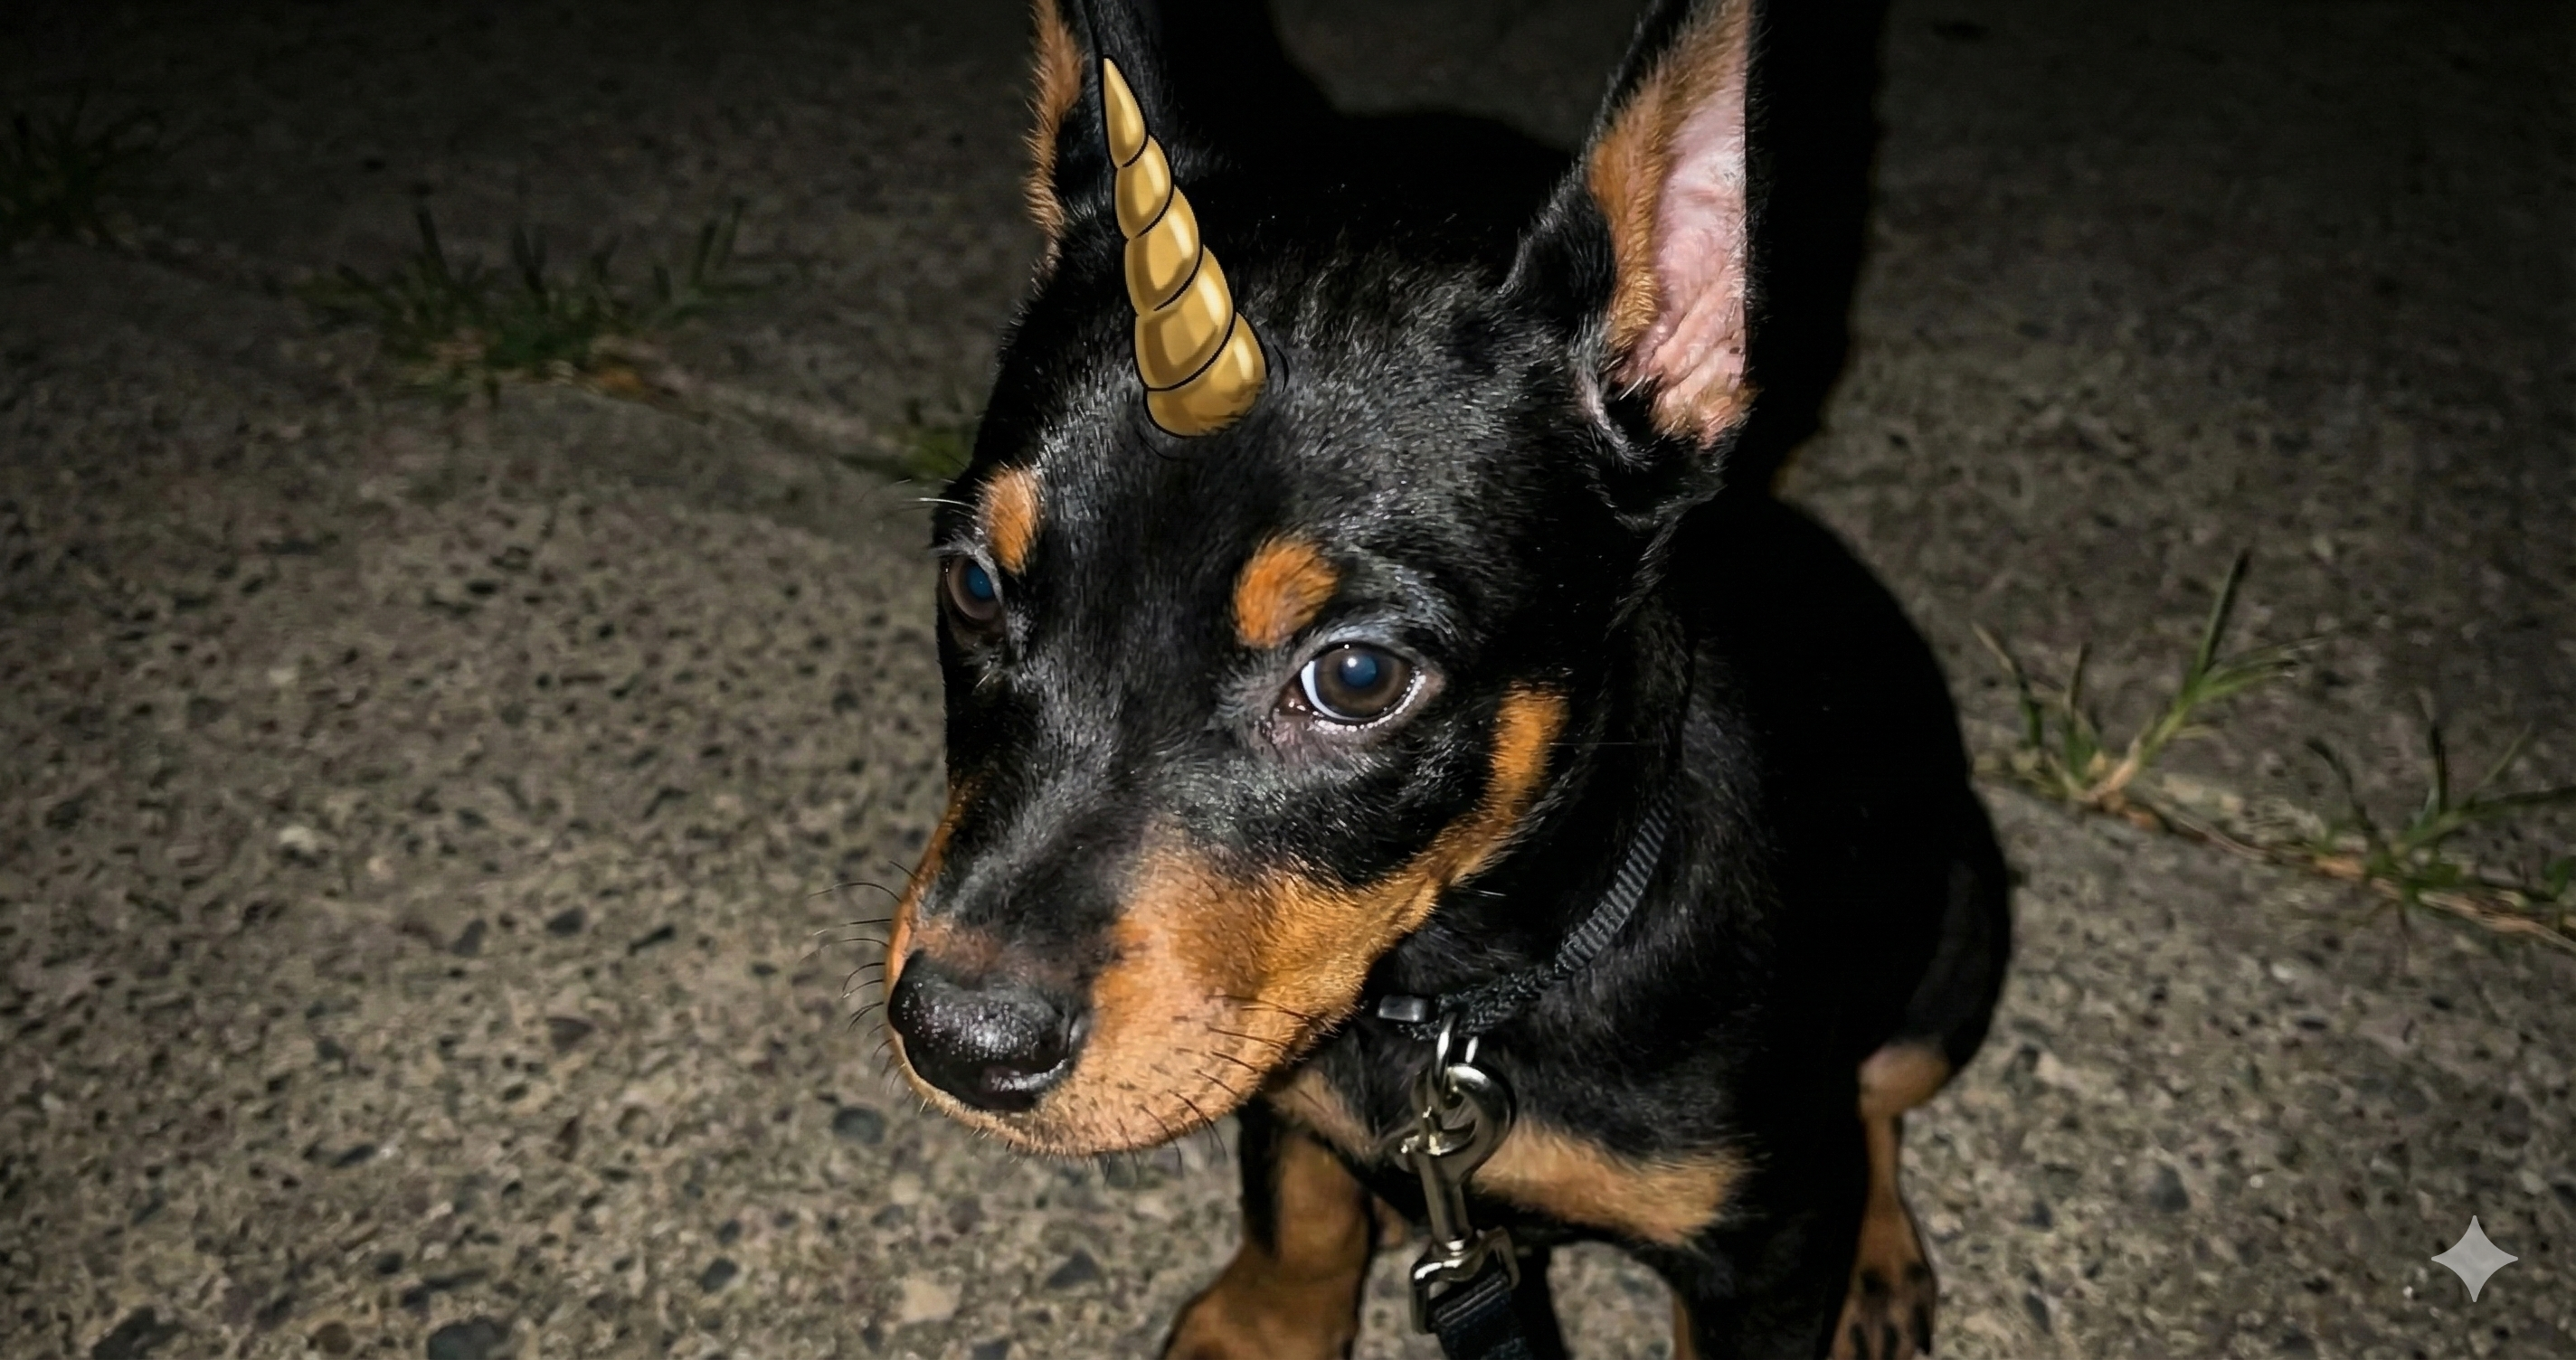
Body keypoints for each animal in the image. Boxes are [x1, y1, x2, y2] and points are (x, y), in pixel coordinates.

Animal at [878, 2, 2011, 1356]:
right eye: (974, 587)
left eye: (1359, 676)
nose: (957, 1043)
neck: (1454, 997)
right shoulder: (1284, 1048)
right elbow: (1300, 1203)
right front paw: (1264, 1324)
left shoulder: (1766, 1248)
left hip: (1960, 942)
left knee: (1885, 1096)